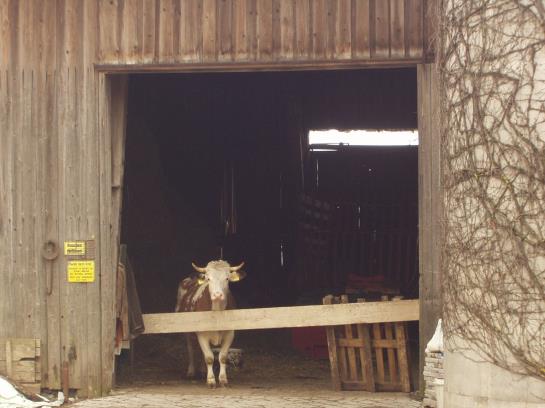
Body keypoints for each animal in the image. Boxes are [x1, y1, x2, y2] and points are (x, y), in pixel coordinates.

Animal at [174, 260, 244, 388]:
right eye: (208, 278)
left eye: (227, 278)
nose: (217, 295)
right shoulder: (201, 334)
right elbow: (209, 358)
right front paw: (211, 380)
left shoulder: (230, 333)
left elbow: (222, 357)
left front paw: (222, 380)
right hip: (187, 330)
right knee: (191, 350)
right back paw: (191, 372)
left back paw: (202, 371)